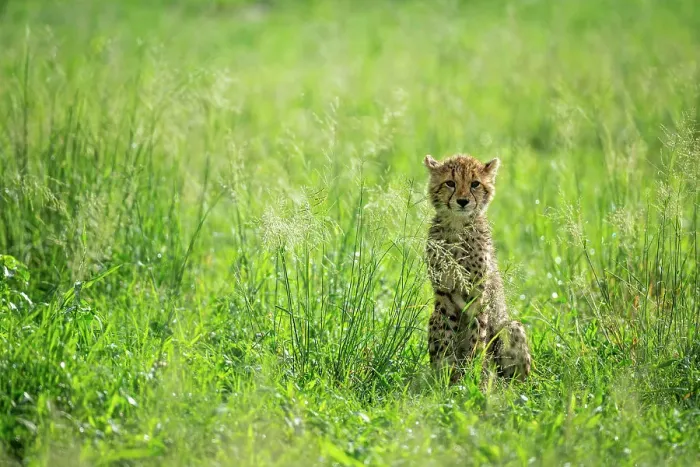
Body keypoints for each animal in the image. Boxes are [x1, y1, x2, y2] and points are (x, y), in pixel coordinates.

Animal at [423, 153, 531, 384]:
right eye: (450, 183)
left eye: (475, 184)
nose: (463, 201)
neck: (457, 225)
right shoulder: (443, 294)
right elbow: (446, 339)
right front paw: (447, 377)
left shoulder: (477, 296)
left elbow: (476, 339)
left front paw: (469, 378)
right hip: (433, 316)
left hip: (510, 327)